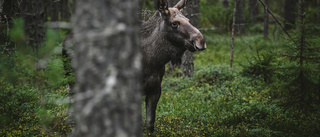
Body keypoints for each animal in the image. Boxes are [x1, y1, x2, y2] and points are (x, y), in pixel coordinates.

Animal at [62, 0, 206, 134]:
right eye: (174, 23)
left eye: (188, 20)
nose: (201, 41)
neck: (152, 61)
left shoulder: (155, 89)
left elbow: (150, 122)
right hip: (72, 78)